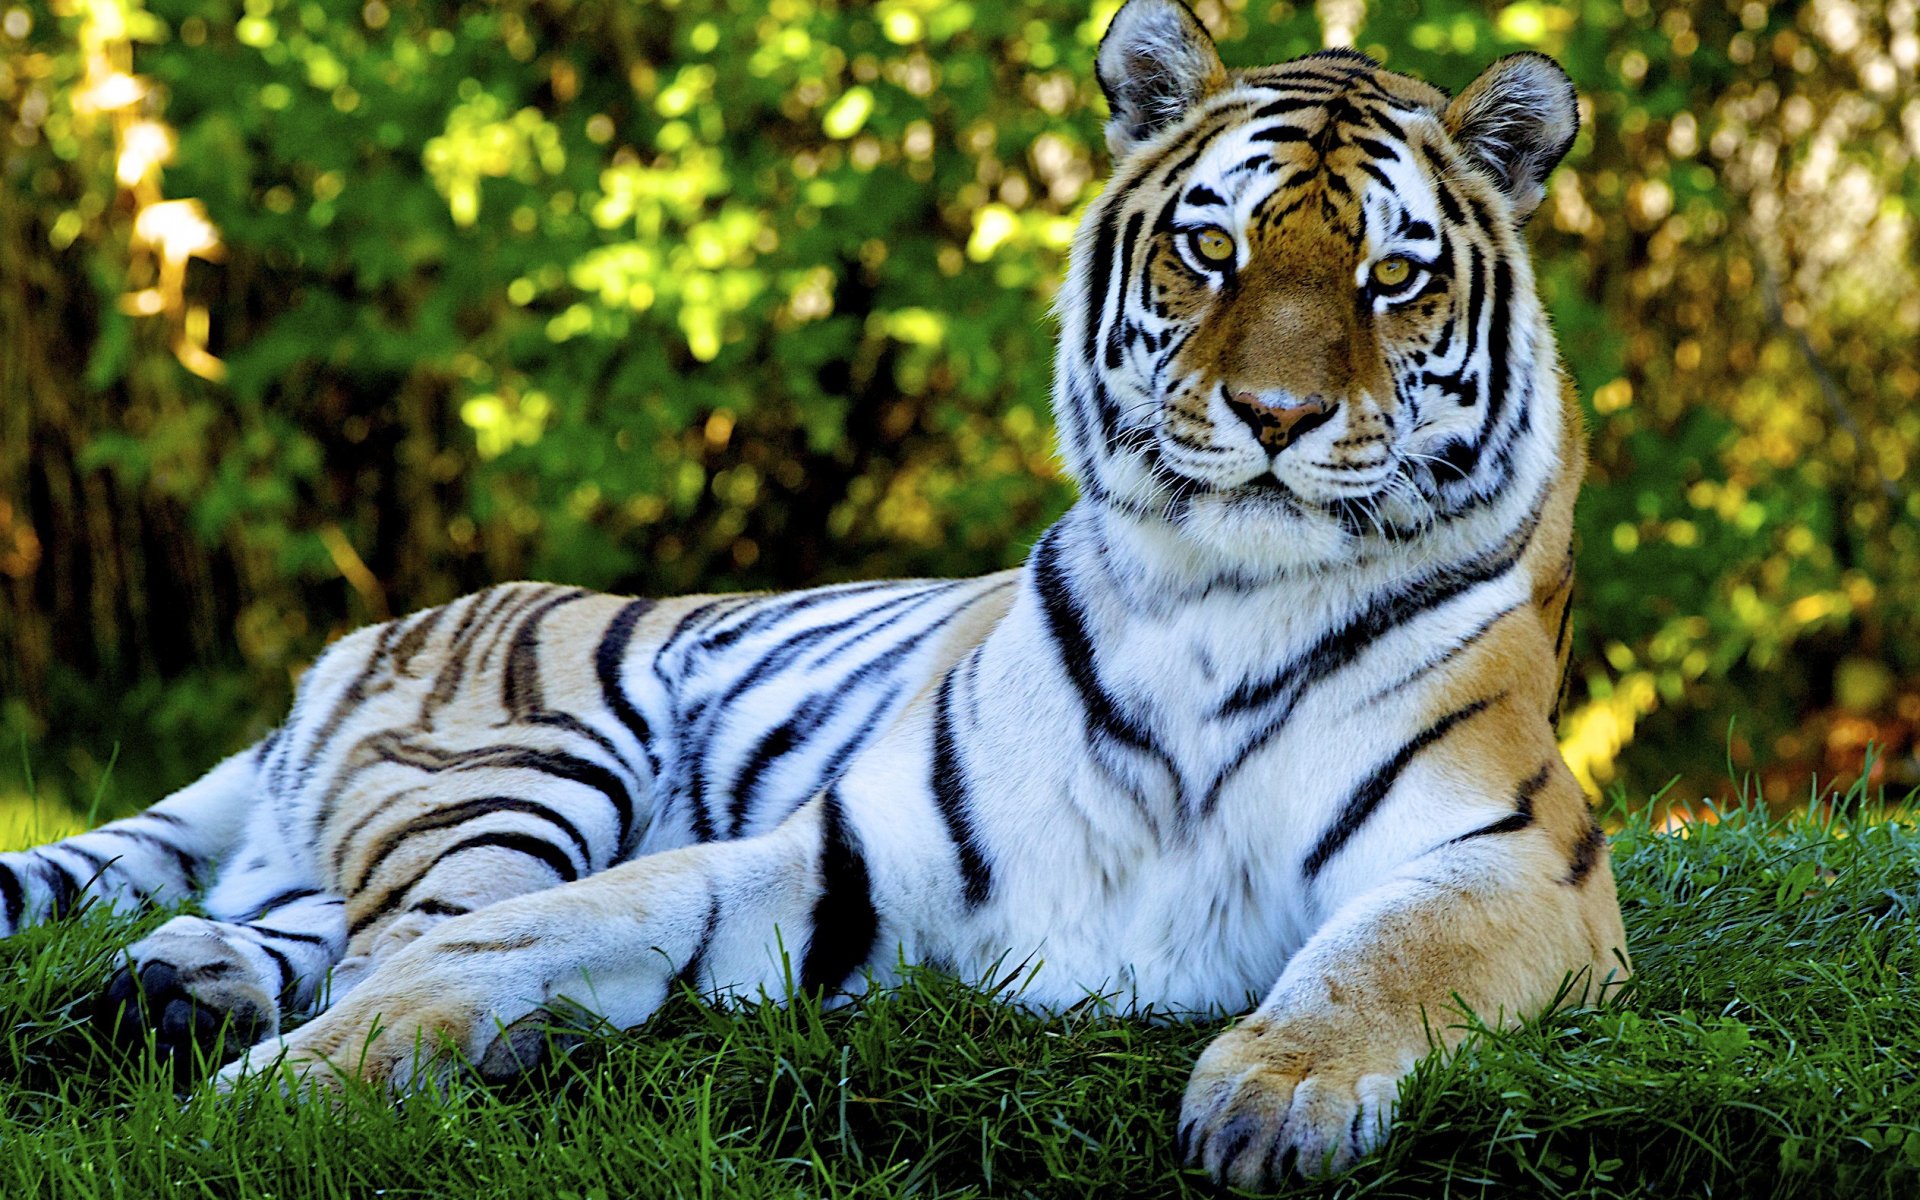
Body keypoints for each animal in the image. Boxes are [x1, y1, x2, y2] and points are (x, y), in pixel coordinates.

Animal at [1, 0, 1628, 1184]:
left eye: (1391, 277)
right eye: (1211, 246)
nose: (1277, 416)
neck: (1223, 604)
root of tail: (353, 645)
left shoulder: (1521, 863)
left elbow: (1388, 959)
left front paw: (1274, 1097)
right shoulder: (847, 851)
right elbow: (544, 930)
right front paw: (324, 1074)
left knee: (288, 917)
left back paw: (185, 982)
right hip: (530, 761)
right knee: (388, 922)